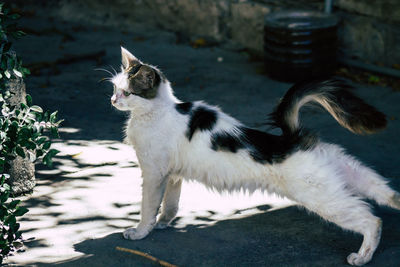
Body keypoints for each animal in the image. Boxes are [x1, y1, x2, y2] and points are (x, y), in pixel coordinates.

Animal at [109, 46, 400, 266]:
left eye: (127, 92)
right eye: (114, 89)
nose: (113, 101)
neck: (156, 112)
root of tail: (294, 138)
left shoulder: (154, 173)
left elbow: (148, 207)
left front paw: (140, 232)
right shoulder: (172, 175)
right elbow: (170, 204)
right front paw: (164, 223)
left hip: (324, 199)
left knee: (372, 220)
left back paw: (362, 256)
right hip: (350, 175)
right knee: (388, 195)